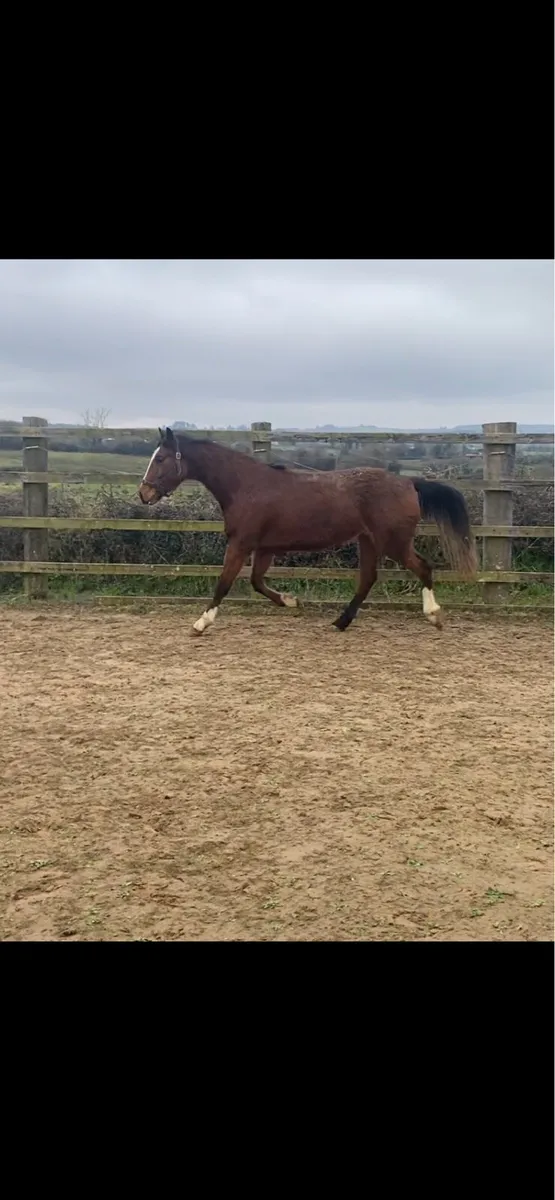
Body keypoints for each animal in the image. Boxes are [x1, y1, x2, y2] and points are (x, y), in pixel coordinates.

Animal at [139, 427, 477, 635]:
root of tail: (409, 482)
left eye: (161, 458)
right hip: (368, 541)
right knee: (368, 579)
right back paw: (340, 622)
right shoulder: (265, 548)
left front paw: (201, 623)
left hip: (394, 542)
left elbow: (224, 582)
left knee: (423, 567)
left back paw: (434, 615)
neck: (245, 486)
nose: (144, 494)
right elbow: (257, 582)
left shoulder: (241, 543)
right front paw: (292, 601)